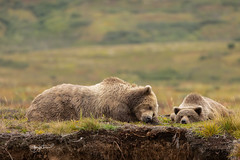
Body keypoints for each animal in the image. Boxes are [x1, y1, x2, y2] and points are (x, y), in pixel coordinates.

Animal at [26, 77, 159, 124]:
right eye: (149, 106)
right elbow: (123, 116)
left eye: (154, 111)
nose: (148, 118)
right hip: (56, 105)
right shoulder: (114, 105)